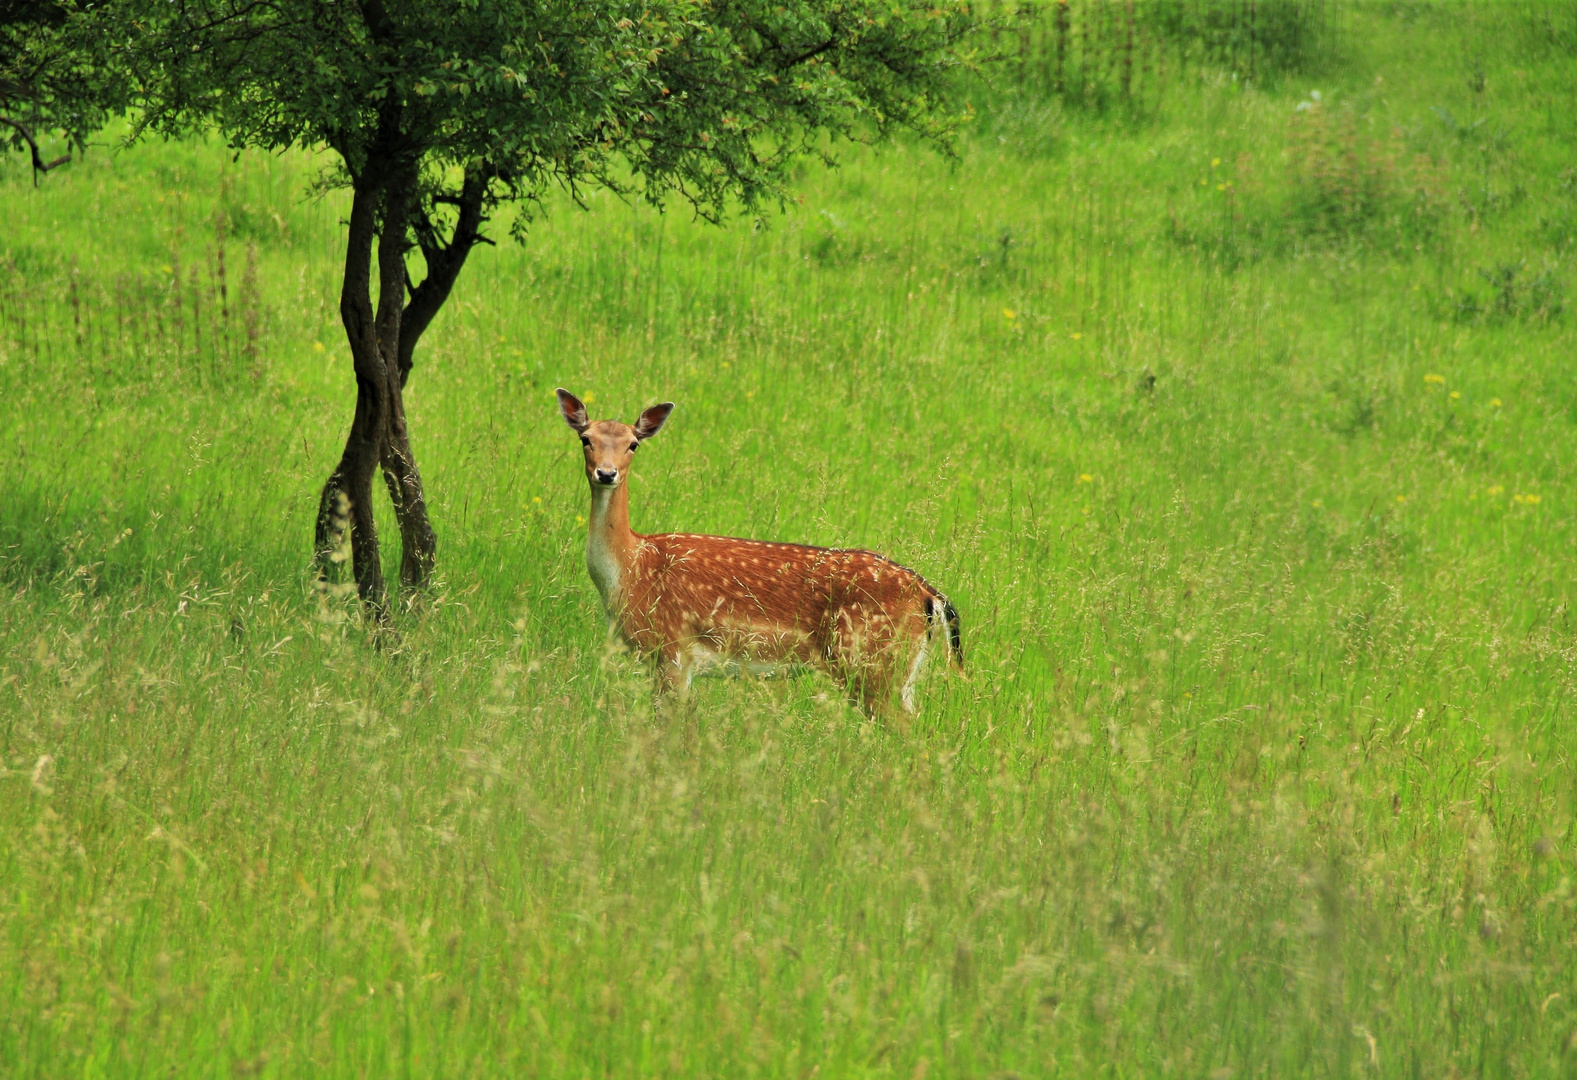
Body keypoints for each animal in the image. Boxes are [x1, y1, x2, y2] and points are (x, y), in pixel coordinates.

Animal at [555, 389, 958, 715]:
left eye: (633, 444)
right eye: (585, 439)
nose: (607, 473)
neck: (631, 568)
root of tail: (930, 596)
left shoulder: (673, 647)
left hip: (872, 664)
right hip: (897, 674)